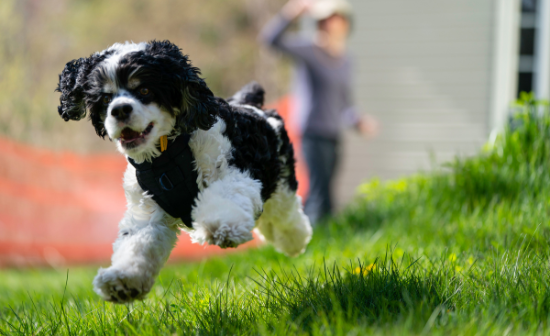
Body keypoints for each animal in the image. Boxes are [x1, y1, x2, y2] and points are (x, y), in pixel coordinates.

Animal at [58, 40, 314, 304]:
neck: (166, 155)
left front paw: (221, 225)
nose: (119, 110)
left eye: (145, 90)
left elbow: (224, 196)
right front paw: (123, 280)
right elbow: (137, 243)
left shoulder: (236, 172)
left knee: (286, 217)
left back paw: (294, 240)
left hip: (281, 186)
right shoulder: (149, 213)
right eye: (106, 97)